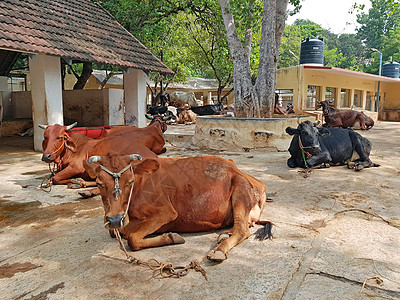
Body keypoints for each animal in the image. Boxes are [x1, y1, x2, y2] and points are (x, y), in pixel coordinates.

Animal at [84, 154, 272, 262]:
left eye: (130, 181)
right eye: (99, 183)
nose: (116, 219)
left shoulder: (166, 212)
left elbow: (133, 239)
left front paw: (172, 237)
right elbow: (117, 232)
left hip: (241, 191)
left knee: (242, 230)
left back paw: (219, 250)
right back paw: (225, 234)